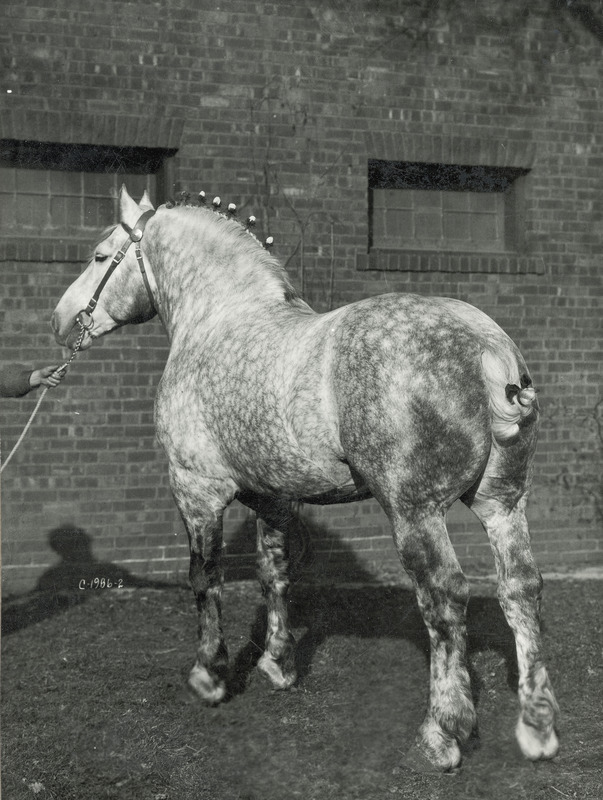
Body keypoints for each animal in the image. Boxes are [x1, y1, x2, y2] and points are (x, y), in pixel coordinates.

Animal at [53, 188, 560, 776]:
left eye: (98, 256)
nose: (61, 320)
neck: (219, 319)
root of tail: (485, 345)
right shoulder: (273, 499)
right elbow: (274, 574)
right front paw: (278, 665)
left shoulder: (195, 490)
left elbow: (205, 577)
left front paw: (209, 674)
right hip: (503, 502)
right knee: (521, 589)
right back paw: (537, 727)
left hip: (415, 512)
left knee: (446, 597)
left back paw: (444, 731)